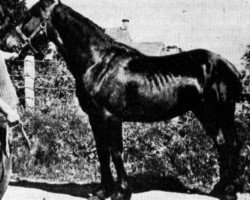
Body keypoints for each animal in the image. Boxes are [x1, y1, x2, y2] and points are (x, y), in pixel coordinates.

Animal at [5, 0, 246, 199]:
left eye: (30, 15)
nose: (6, 42)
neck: (98, 62)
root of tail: (230, 66)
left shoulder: (111, 117)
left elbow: (116, 152)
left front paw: (122, 192)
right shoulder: (94, 117)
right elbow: (102, 151)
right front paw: (102, 191)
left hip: (223, 111)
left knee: (233, 143)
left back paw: (229, 191)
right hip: (204, 112)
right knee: (221, 143)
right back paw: (219, 188)